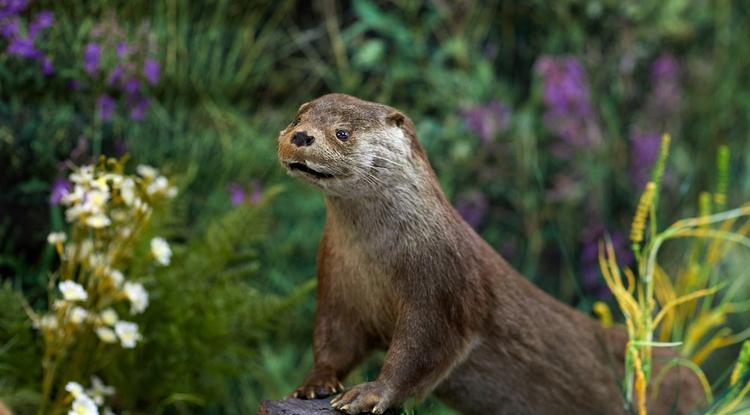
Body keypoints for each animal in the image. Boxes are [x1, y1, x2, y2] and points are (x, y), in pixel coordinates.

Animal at [276, 94, 704, 415]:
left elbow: (420, 351)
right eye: (297, 117)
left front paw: (370, 392)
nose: (301, 136)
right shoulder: (337, 283)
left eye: (342, 132)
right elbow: (334, 339)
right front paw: (314, 383)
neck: (377, 257)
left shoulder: (443, 284)